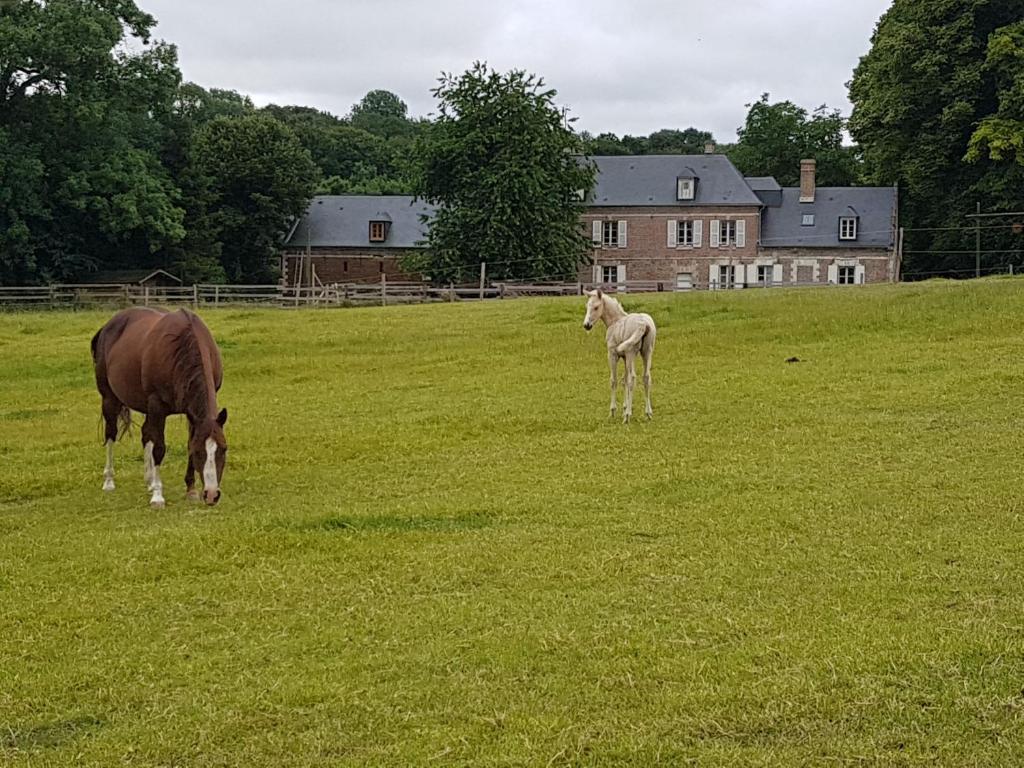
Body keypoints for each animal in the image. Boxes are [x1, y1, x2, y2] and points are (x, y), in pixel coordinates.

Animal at [92, 309, 228, 507]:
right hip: (110, 399)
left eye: (224, 449)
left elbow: (186, 441)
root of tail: (106, 327)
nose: (211, 495)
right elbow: (159, 448)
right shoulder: (157, 406)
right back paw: (109, 481)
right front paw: (158, 496)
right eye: (199, 452)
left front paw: (191, 489)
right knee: (111, 434)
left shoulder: (191, 412)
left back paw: (149, 480)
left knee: (146, 434)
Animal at [585, 288, 655, 423]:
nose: (586, 325)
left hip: (631, 352)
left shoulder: (613, 354)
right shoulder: (625, 357)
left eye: (596, 307)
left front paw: (613, 411)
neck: (615, 321)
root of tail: (643, 323)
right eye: (587, 306)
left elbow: (614, 380)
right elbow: (624, 380)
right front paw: (624, 407)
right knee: (646, 377)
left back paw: (628, 416)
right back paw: (648, 413)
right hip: (646, 352)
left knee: (633, 378)